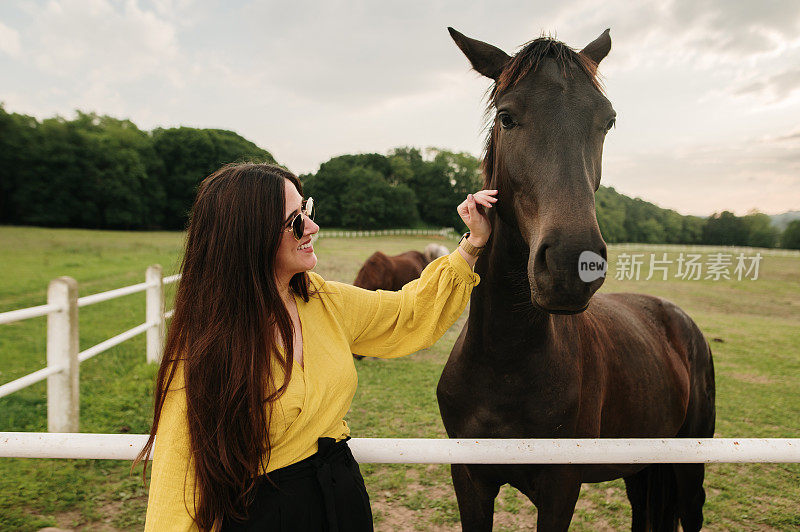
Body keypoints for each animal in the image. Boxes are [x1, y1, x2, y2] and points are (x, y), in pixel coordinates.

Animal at [438, 29, 720, 532]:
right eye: (507, 117)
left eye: (607, 121)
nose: (575, 264)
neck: (505, 361)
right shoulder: (469, 480)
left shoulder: (560, 487)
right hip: (641, 466)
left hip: (689, 464)